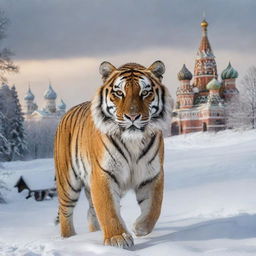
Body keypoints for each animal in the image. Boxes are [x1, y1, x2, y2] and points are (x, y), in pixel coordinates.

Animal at [54, 60, 173, 248]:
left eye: (145, 92)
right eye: (119, 93)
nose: (132, 116)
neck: (133, 141)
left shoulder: (151, 174)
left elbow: (154, 207)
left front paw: (139, 228)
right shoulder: (103, 174)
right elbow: (108, 210)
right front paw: (117, 238)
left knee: (91, 212)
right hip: (68, 183)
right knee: (65, 212)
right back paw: (69, 240)